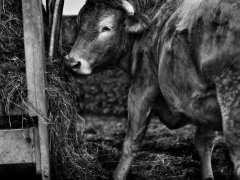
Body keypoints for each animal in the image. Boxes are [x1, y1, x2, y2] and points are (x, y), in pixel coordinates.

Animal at [64, 0, 240, 179]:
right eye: (80, 24)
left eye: (106, 27)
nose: (72, 62)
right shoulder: (203, 105)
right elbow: (204, 143)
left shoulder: (142, 88)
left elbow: (131, 142)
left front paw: (118, 175)